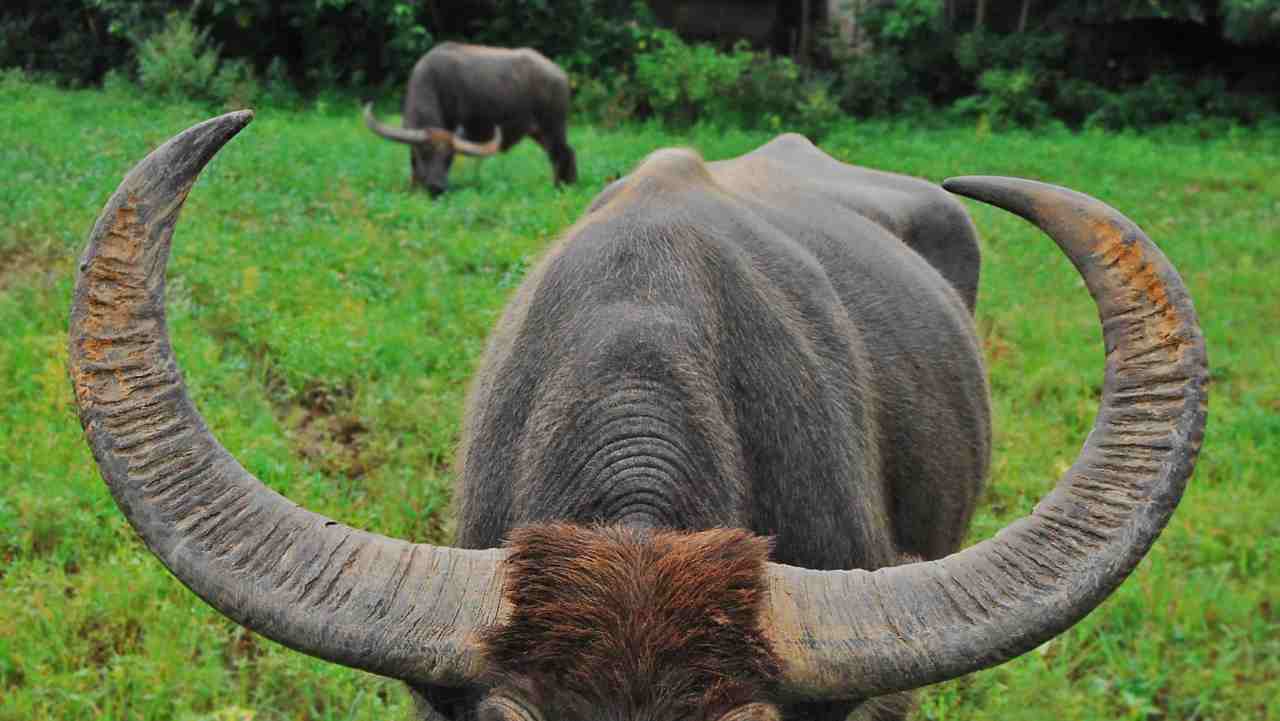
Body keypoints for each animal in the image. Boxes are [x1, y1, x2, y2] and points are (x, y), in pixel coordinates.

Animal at [363, 41, 578, 194]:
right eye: (425, 152)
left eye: (449, 158)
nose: (437, 187)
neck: (433, 83)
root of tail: (560, 75)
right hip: (538, 132)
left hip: (553, 127)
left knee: (563, 154)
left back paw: (562, 188)